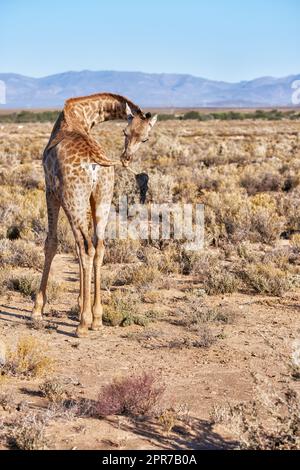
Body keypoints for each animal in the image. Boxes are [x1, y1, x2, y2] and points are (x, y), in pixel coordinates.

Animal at [32, 92, 158, 336]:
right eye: (125, 132)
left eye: (145, 139)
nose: (126, 158)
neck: (80, 116)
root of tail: (96, 164)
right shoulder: (89, 200)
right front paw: (81, 302)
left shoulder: (50, 191)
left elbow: (51, 243)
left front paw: (37, 309)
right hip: (102, 198)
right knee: (98, 246)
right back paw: (97, 318)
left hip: (73, 199)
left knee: (85, 247)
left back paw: (83, 323)